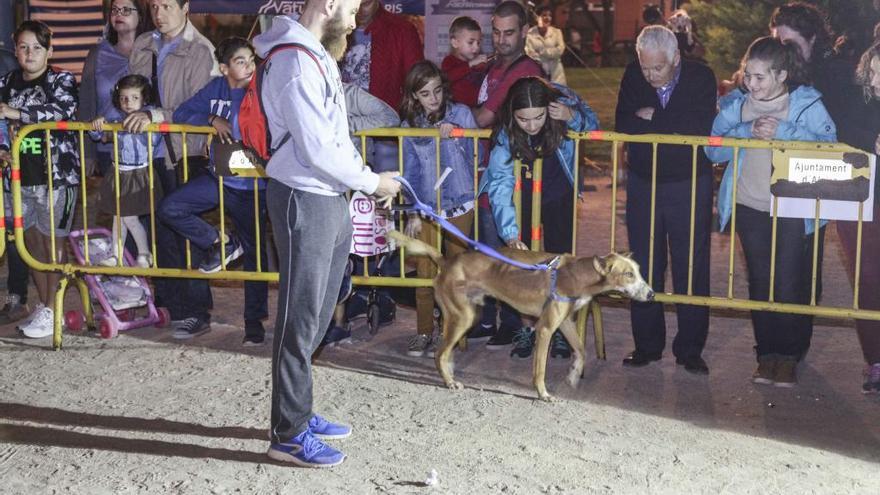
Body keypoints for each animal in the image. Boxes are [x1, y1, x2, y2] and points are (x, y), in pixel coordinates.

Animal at [392, 232, 652, 404]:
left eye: (639, 271)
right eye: (628, 274)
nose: (651, 294)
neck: (577, 274)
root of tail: (446, 261)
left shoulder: (565, 323)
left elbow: (581, 350)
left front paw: (573, 374)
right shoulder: (545, 328)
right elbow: (540, 369)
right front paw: (543, 393)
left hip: (467, 317)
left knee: (445, 352)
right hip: (463, 317)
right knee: (440, 353)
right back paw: (449, 381)